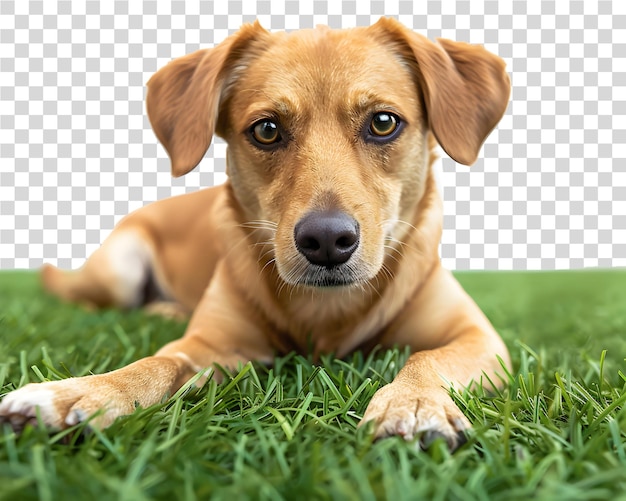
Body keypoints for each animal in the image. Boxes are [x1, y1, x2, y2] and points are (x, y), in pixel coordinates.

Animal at [0, 18, 508, 450]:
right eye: (266, 129)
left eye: (383, 122)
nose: (327, 241)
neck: (325, 312)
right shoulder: (209, 346)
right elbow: (157, 362)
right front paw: (82, 392)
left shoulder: (480, 339)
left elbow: (426, 358)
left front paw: (413, 403)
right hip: (118, 269)